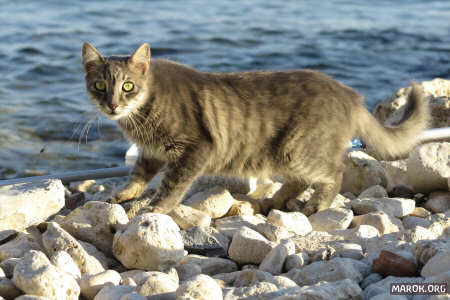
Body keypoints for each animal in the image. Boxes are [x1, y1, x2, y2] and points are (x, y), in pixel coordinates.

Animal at [81, 42, 428, 217]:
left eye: (127, 86)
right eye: (99, 86)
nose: (112, 105)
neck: (140, 119)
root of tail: (349, 94)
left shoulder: (193, 149)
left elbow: (171, 186)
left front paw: (155, 208)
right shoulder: (151, 153)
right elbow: (137, 176)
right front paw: (123, 195)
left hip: (298, 150)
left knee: (335, 171)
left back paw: (317, 204)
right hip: (287, 155)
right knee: (299, 182)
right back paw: (272, 201)